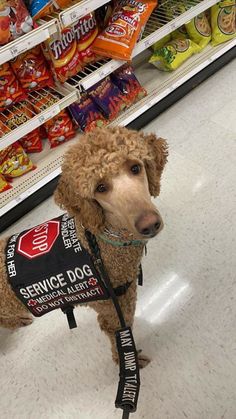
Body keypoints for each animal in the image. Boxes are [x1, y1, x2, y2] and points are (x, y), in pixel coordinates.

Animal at [0, 127, 168, 368]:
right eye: (100, 188)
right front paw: (129, 361)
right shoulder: (114, 311)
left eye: (136, 168)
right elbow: (119, 338)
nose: (149, 224)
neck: (98, 242)